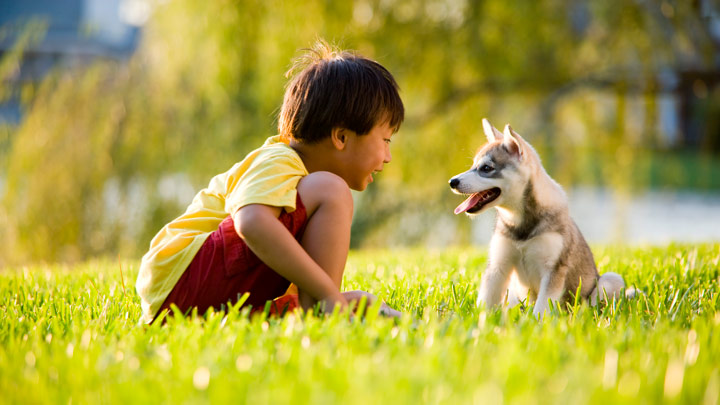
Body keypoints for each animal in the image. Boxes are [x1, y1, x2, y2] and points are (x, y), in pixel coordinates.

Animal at [452, 118, 628, 318]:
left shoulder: (553, 270)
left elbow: (542, 307)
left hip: (611, 280)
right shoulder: (498, 266)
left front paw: (535, 322)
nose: (452, 182)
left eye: (486, 168)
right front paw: (477, 321)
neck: (520, 222)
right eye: (473, 166)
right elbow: (485, 301)